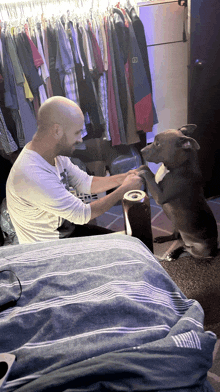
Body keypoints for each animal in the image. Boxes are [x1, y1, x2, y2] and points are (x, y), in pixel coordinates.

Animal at [138, 124, 218, 262]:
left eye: (158, 144)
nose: (141, 151)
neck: (177, 165)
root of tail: (215, 249)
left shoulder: (160, 196)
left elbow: (147, 171)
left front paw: (140, 170)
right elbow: (149, 171)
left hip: (199, 249)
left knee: (187, 248)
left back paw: (174, 254)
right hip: (176, 224)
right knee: (177, 238)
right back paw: (164, 241)